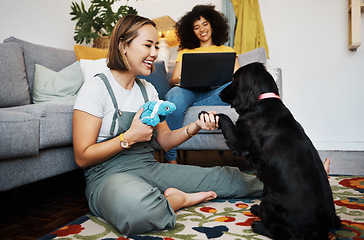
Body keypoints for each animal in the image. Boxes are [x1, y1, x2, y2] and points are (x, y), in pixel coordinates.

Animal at [212, 62, 340, 240]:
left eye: (234, 79)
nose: (219, 93)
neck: (262, 101)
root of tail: (319, 231)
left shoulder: (239, 141)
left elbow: (225, 118)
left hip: (270, 198)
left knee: (283, 233)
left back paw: (258, 225)